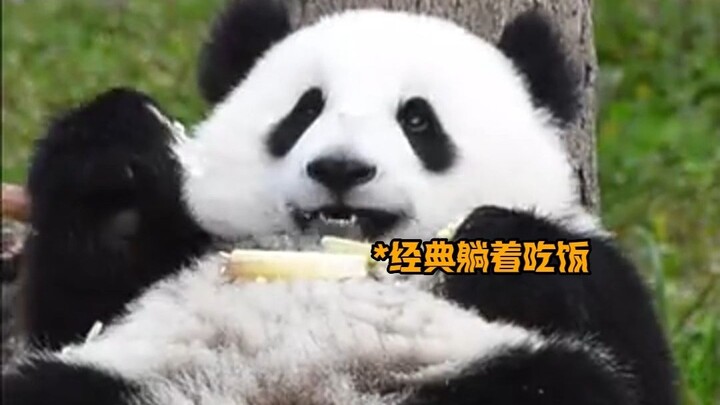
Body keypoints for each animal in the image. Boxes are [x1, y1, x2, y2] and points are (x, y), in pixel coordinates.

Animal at [2, 1, 678, 404]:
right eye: (305, 109)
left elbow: (634, 355)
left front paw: (494, 241)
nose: (341, 169)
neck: (338, 262)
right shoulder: (169, 266)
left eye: (418, 120)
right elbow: (80, 302)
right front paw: (119, 152)